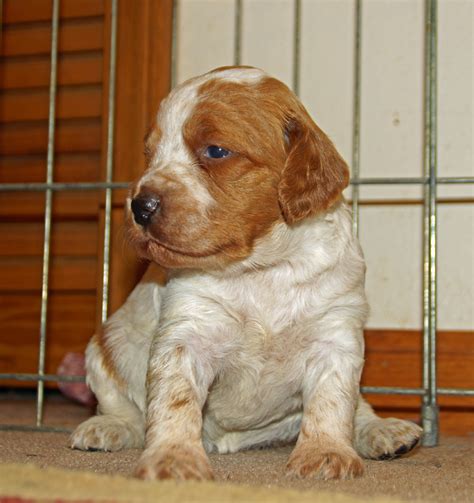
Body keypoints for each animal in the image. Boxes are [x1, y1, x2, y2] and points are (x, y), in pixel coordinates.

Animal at [71, 66, 422, 480]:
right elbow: (175, 403)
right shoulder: (187, 334)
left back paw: (383, 430)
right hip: (103, 347)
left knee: (358, 408)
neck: (261, 267)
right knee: (121, 406)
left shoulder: (336, 335)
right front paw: (173, 459)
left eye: (215, 150)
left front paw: (325, 453)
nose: (140, 206)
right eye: (149, 153)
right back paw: (106, 427)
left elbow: (332, 401)